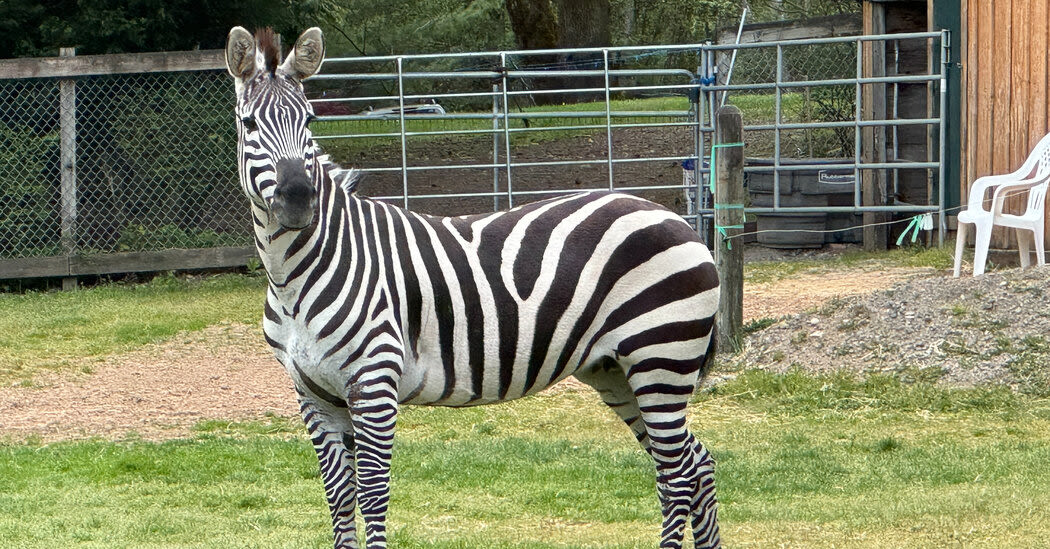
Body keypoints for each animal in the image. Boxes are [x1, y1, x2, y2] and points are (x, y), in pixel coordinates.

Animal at [223, 26, 722, 549]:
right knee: (696, 464)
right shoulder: (314, 393)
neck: (294, 278)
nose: (300, 200)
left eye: (310, 120)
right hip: (615, 368)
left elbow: (373, 497)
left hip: (660, 357)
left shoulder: (374, 381)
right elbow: (339, 499)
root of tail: (678, 220)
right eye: (248, 123)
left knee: (677, 476)